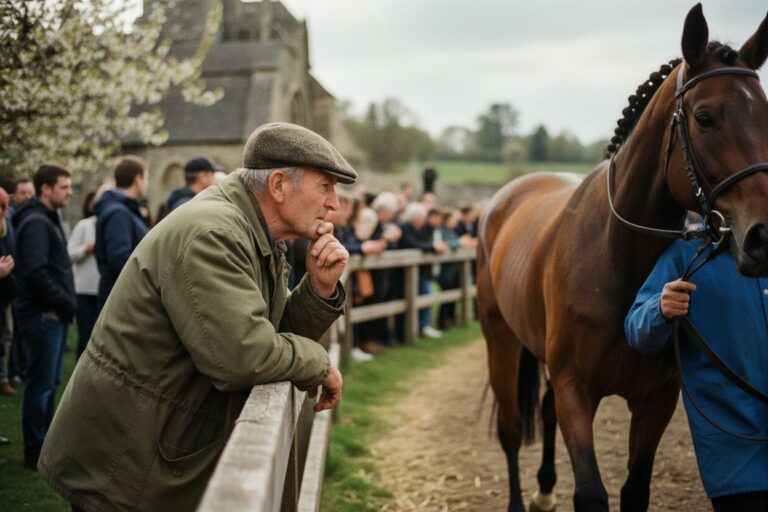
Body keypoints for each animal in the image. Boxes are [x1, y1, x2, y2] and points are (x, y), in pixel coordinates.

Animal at [477, 5, 768, 512]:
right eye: (705, 117)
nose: (764, 235)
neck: (618, 260)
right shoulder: (576, 389)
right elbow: (591, 492)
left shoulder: (656, 399)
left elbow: (635, 490)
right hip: (501, 339)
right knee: (511, 430)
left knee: (543, 413)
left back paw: (545, 490)